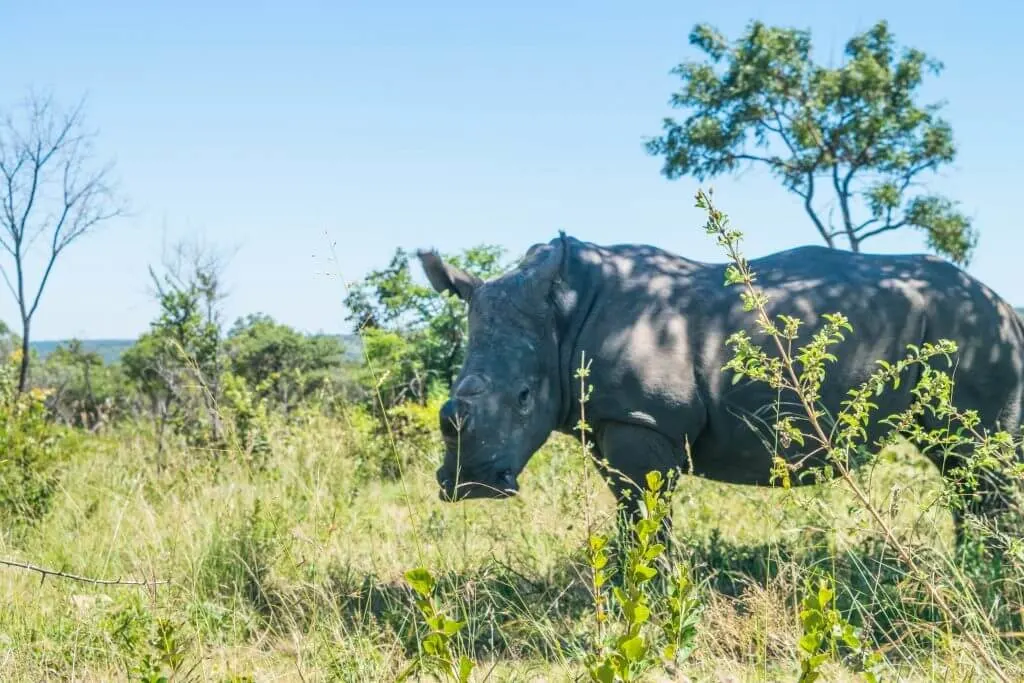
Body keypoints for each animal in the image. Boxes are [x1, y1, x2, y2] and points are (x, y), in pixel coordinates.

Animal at [416, 234, 1024, 547]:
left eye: (524, 397)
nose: (472, 485)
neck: (561, 323)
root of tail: (1003, 303)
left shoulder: (643, 417)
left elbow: (644, 509)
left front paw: (646, 590)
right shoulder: (612, 417)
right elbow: (631, 507)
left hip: (975, 329)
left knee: (978, 457)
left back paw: (988, 571)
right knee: (960, 465)